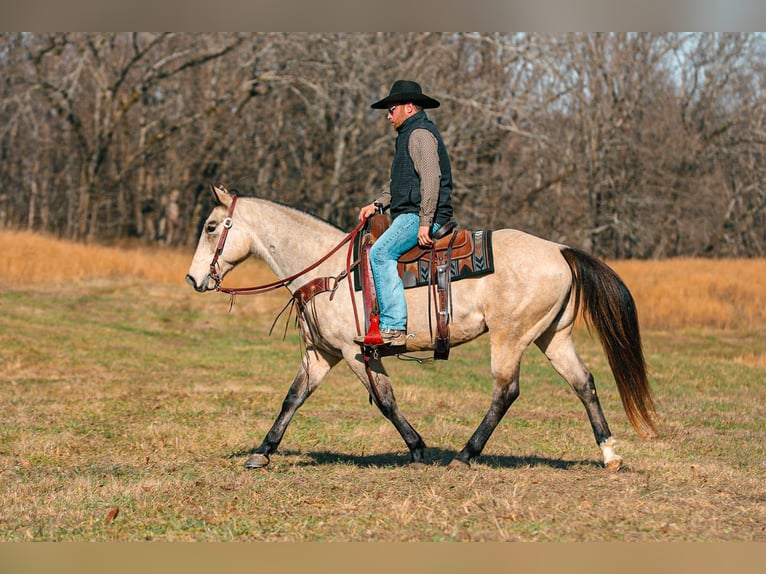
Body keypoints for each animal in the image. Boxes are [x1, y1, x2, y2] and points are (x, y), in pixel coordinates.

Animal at [185, 184, 657, 471]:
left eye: (210, 227)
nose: (194, 279)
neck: (329, 271)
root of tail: (559, 249)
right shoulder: (322, 354)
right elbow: (292, 399)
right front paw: (262, 452)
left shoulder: (356, 352)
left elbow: (386, 400)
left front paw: (417, 448)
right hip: (551, 335)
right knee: (584, 383)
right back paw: (609, 453)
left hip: (511, 337)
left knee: (506, 392)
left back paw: (465, 454)